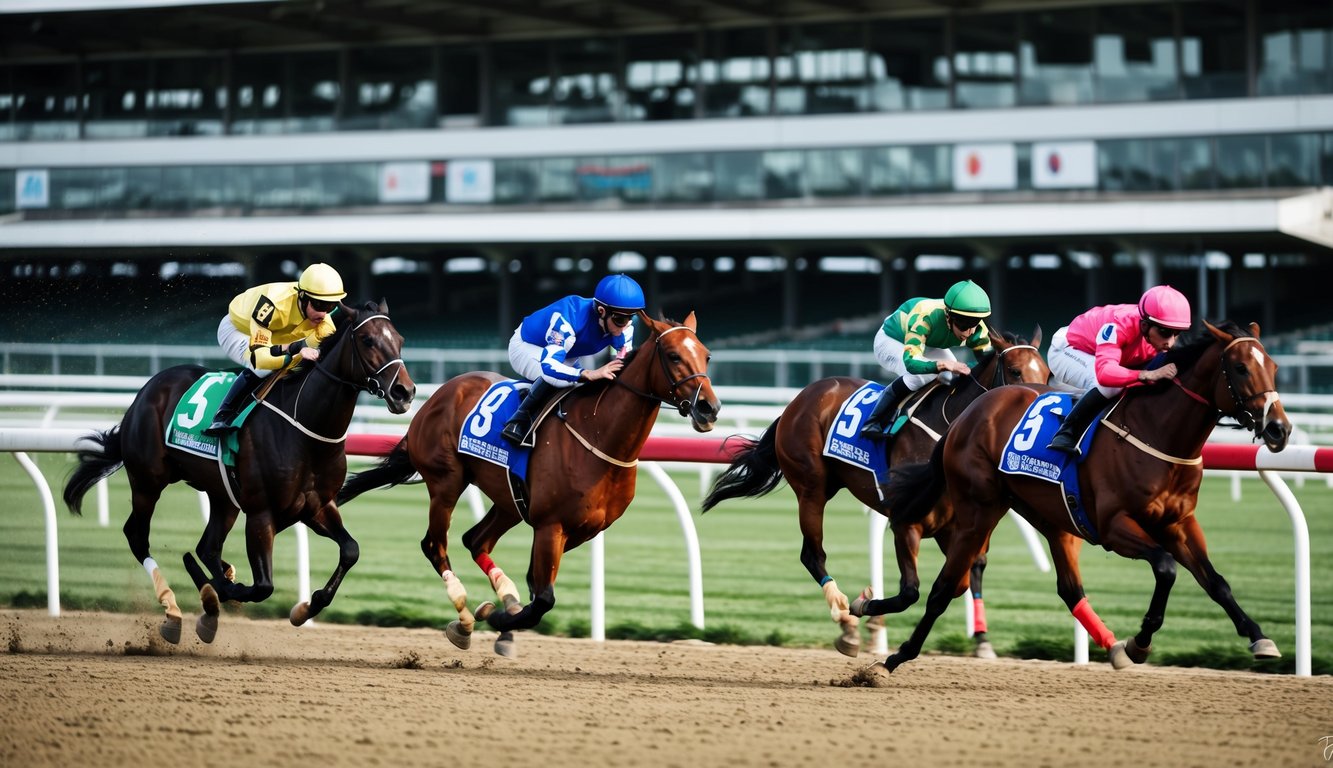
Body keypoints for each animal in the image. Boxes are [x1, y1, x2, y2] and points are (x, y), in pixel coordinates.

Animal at [62, 298, 413, 642]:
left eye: (400, 340)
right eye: (367, 340)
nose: (404, 392)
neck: (306, 428)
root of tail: (146, 392)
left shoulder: (316, 506)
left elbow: (350, 550)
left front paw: (304, 608)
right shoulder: (261, 513)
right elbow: (261, 586)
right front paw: (220, 592)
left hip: (223, 496)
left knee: (207, 547)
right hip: (148, 480)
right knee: (138, 536)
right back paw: (175, 612)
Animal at [338, 309, 725, 656]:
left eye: (706, 355)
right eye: (673, 355)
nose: (709, 408)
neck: (599, 432)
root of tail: (439, 394)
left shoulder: (578, 530)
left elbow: (536, 589)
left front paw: (504, 618)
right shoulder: (551, 525)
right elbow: (543, 600)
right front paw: (498, 620)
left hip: (508, 499)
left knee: (475, 540)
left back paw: (504, 598)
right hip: (446, 482)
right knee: (436, 545)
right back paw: (464, 620)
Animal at [693, 326, 1045, 656]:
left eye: (1047, 373)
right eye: (1015, 371)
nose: (1035, 410)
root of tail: (801, 397)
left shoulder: (958, 528)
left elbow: (965, 577)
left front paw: (982, 640)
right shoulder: (906, 523)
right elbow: (910, 591)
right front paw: (864, 606)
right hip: (811, 487)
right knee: (812, 554)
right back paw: (844, 618)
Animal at [879, 322, 1285, 672]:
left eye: (1274, 367)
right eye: (1240, 368)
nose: (1278, 428)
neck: (1154, 430)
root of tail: (966, 416)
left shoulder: (1179, 523)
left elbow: (1216, 581)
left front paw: (1259, 637)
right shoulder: (1114, 526)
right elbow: (1166, 568)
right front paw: (1140, 643)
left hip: (1046, 513)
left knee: (1066, 587)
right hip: (977, 509)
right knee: (944, 587)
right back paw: (892, 656)